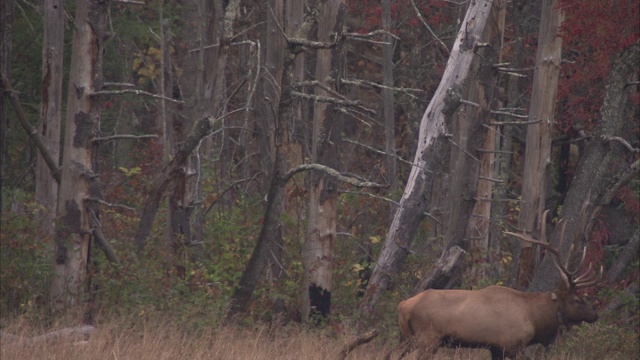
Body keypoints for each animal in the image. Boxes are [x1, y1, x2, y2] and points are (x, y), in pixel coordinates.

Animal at [392, 214, 604, 360]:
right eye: (577, 299)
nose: (595, 315)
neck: (535, 318)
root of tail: (402, 305)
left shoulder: (495, 348)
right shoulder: (512, 346)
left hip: (405, 337)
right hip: (427, 338)